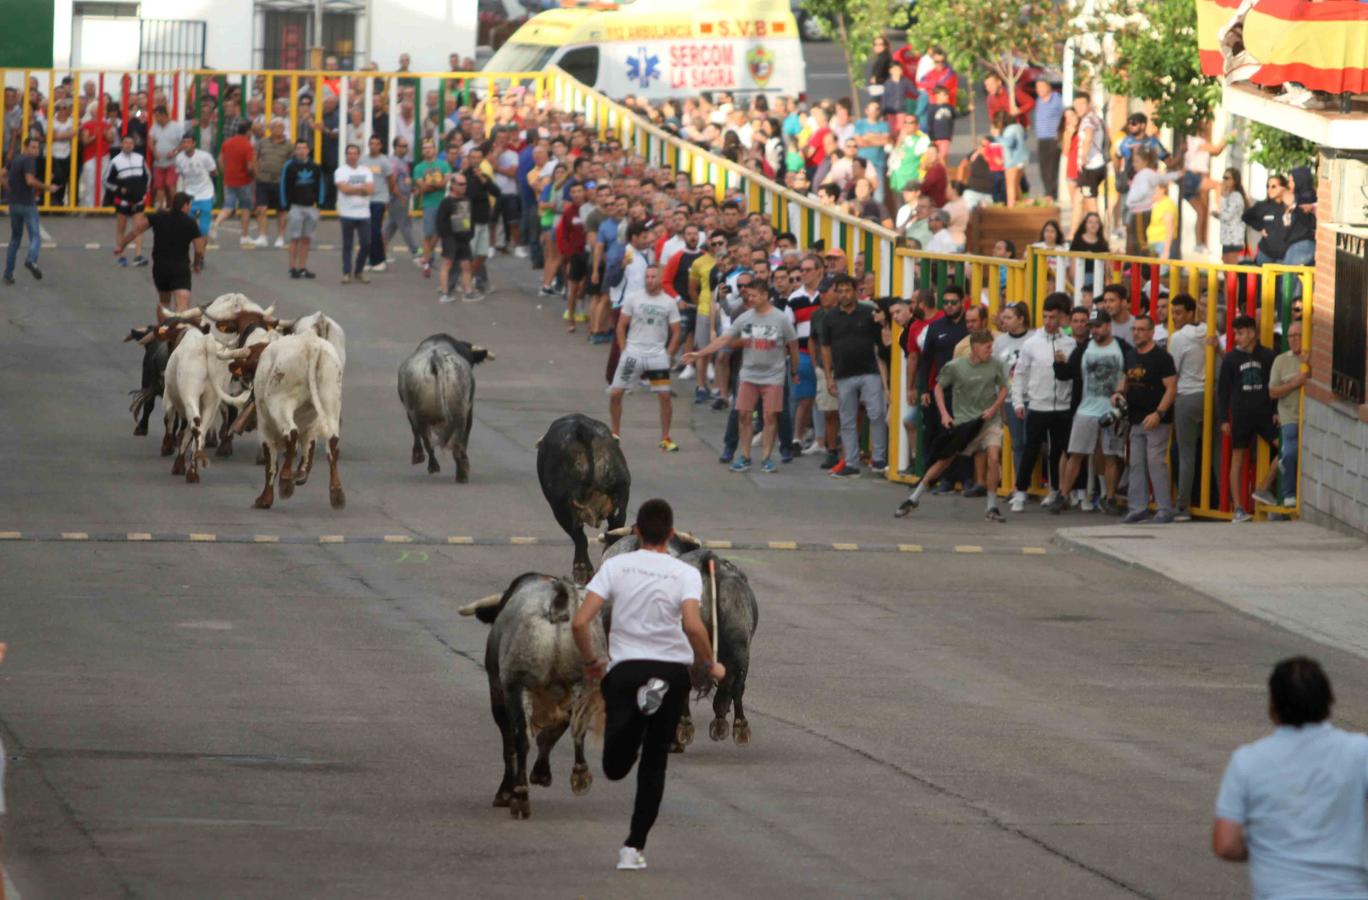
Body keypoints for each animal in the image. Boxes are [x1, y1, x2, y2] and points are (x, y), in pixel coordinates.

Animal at [396, 332, 492, 481]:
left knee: (425, 437)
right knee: (457, 442)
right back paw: (461, 472)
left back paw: (433, 465)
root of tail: (435, 360)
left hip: (417, 412)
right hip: (459, 412)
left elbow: (416, 432)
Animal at [459, 571, 604, 815]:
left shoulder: (499, 691)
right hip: (583, 683)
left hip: (515, 687)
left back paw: (519, 795)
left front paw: (505, 792)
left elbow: (510, 744)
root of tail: (558, 601)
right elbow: (554, 731)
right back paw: (580, 774)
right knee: (577, 727)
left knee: (520, 739)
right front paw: (541, 773)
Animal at [538, 413, 634, 582]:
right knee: (615, 528)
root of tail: (584, 432)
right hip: (620, 492)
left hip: (561, 507)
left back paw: (582, 570)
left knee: (579, 534)